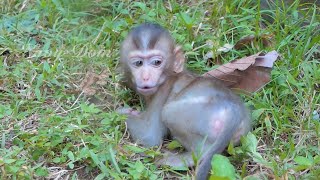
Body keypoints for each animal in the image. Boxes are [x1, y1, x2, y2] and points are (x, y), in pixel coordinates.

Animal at [119, 23, 251, 179]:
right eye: (138, 63)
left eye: (157, 62)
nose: (145, 77)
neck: (171, 74)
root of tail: (233, 109)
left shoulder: (162, 90)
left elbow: (149, 136)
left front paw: (123, 112)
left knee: (168, 112)